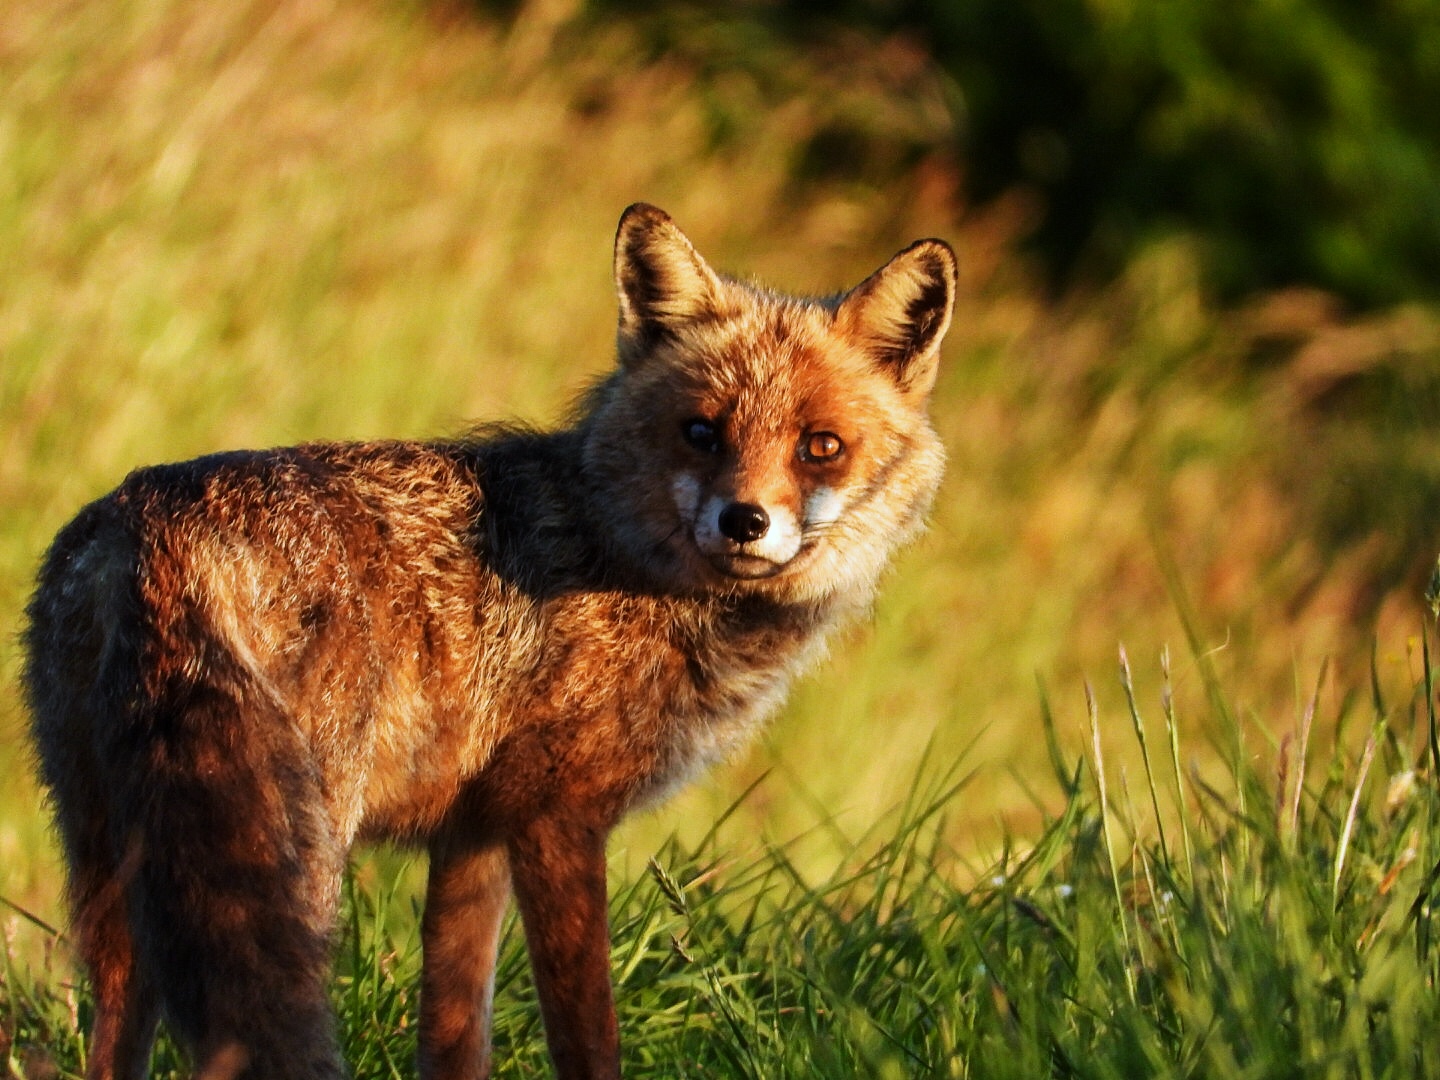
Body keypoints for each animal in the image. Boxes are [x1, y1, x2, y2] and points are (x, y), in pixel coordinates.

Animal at [21, 203, 955, 1080]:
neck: (622, 556)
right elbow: (587, 1036)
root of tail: (149, 518)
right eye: (702, 432)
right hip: (293, 862)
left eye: (820, 447)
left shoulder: (473, 837)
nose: (745, 521)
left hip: (116, 872)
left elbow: (455, 1034)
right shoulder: (557, 818)